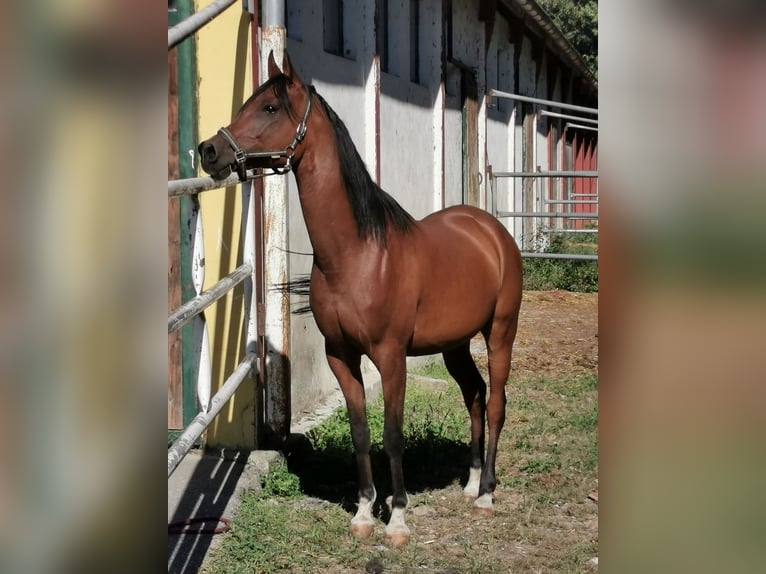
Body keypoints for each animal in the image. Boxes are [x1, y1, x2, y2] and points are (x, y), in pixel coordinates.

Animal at [198, 53, 524, 548]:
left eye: (270, 108)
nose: (209, 151)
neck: (358, 255)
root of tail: (492, 231)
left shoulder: (390, 357)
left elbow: (392, 434)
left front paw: (399, 520)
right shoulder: (341, 356)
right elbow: (361, 432)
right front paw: (366, 512)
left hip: (500, 332)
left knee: (497, 402)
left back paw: (486, 493)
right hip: (454, 345)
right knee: (474, 393)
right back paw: (469, 484)